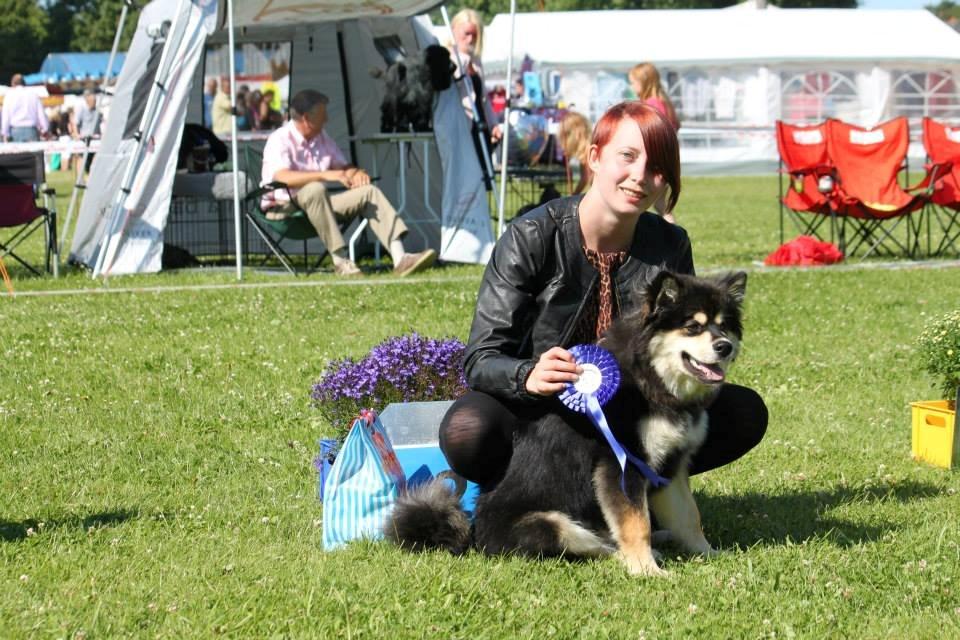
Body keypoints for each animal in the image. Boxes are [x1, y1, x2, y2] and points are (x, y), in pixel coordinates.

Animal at [386, 270, 748, 576]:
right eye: (692, 326)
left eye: (723, 326)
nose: (725, 347)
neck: (650, 378)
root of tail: (475, 534)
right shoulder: (622, 465)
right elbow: (636, 524)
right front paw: (646, 570)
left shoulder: (671, 464)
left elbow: (690, 516)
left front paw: (708, 553)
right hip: (551, 523)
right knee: (595, 546)